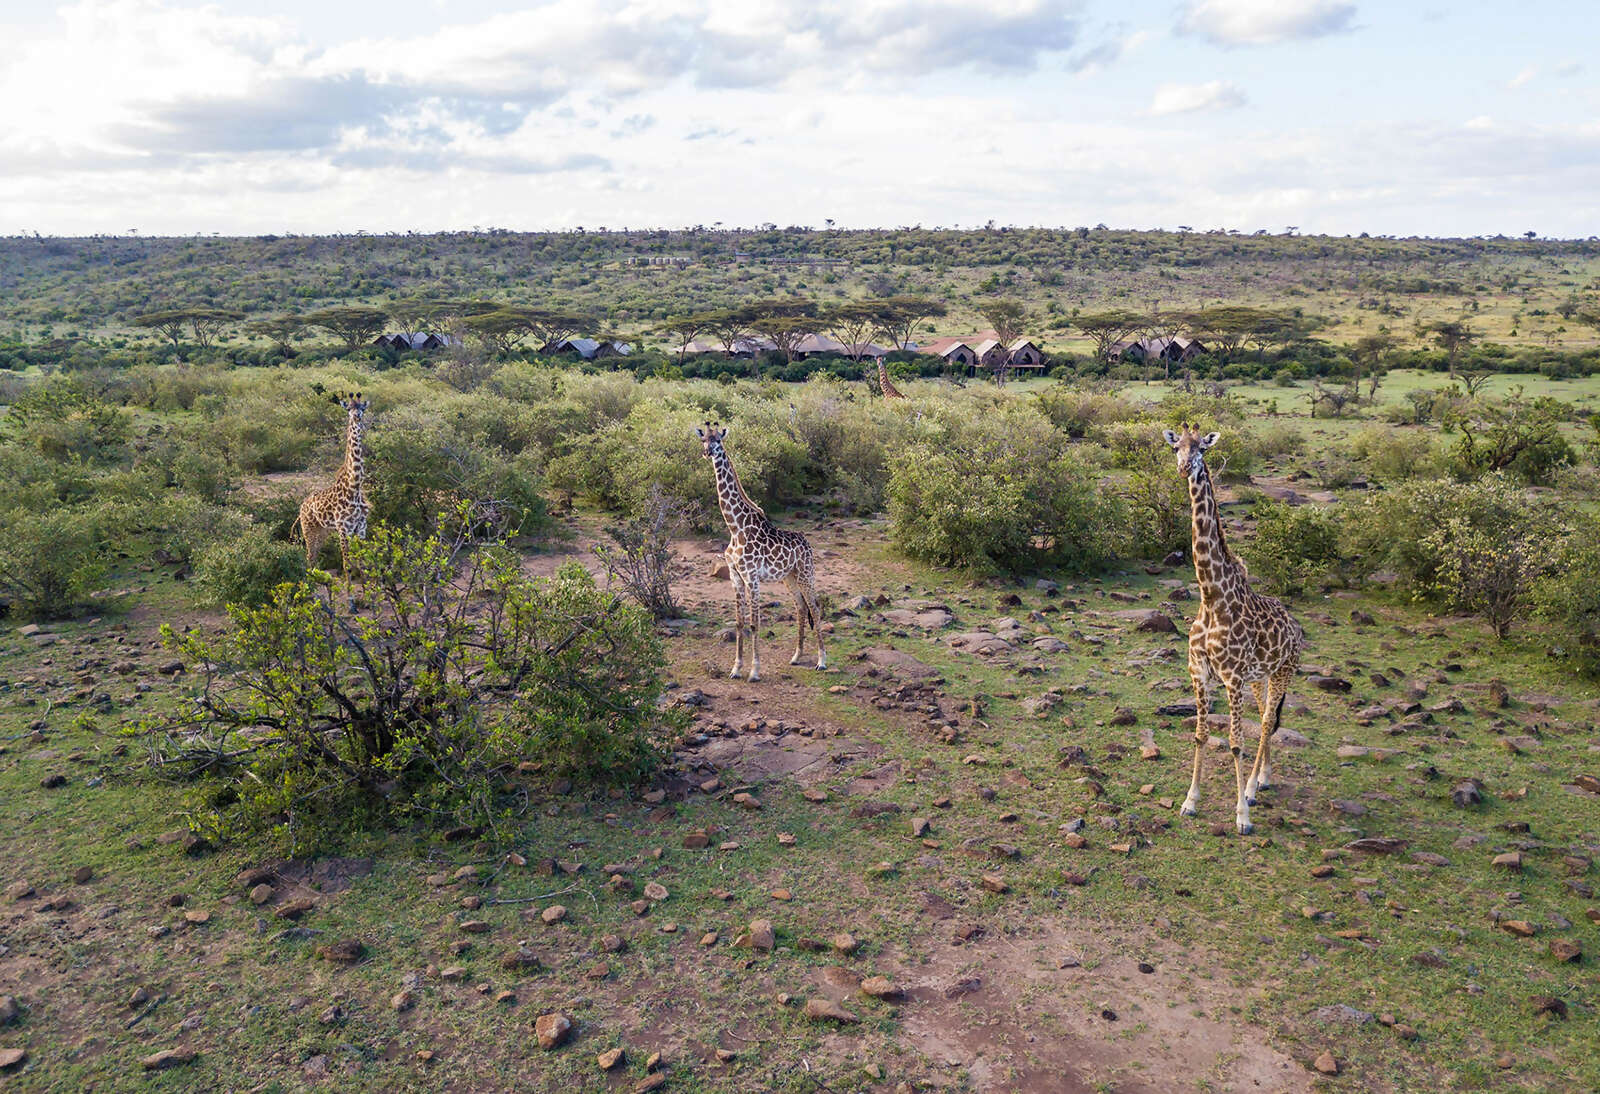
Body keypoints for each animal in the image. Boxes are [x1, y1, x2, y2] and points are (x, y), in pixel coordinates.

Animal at [292, 393, 370, 573]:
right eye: (348, 408)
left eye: (362, 408)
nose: (357, 416)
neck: (354, 487)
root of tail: (302, 507)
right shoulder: (343, 528)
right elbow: (347, 565)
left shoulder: (361, 528)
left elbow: (362, 565)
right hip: (309, 529)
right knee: (310, 557)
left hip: (323, 531)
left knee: (313, 557)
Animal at [696, 422, 826, 681]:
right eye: (703, 439)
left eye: (718, 440)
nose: (708, 452)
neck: (735, 527)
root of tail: (807, 544)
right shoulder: (735, 577)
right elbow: (739, 623)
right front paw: (736, 668)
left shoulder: (752, 578)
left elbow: (755, 623)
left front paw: (754, 671)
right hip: (789, 577)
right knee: (800, 607)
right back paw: (796, 657)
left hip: (806, 574)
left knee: (815, 609)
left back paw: (822, 661)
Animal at [1163, 424, 1304, 835]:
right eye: (1176, 447)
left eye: (1202, 449)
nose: (1184, 468)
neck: (1211, 597)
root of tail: (1295, 626)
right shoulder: (1200, 673)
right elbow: (1200, 734)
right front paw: (1190, 802)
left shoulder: (1232, 677)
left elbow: (1235, 741)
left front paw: (1242, 815)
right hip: (1259, 678)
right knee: (1266, 719)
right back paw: (1263, 779)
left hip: (1284, 670)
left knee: (1267, 720)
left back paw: (1253, 789)